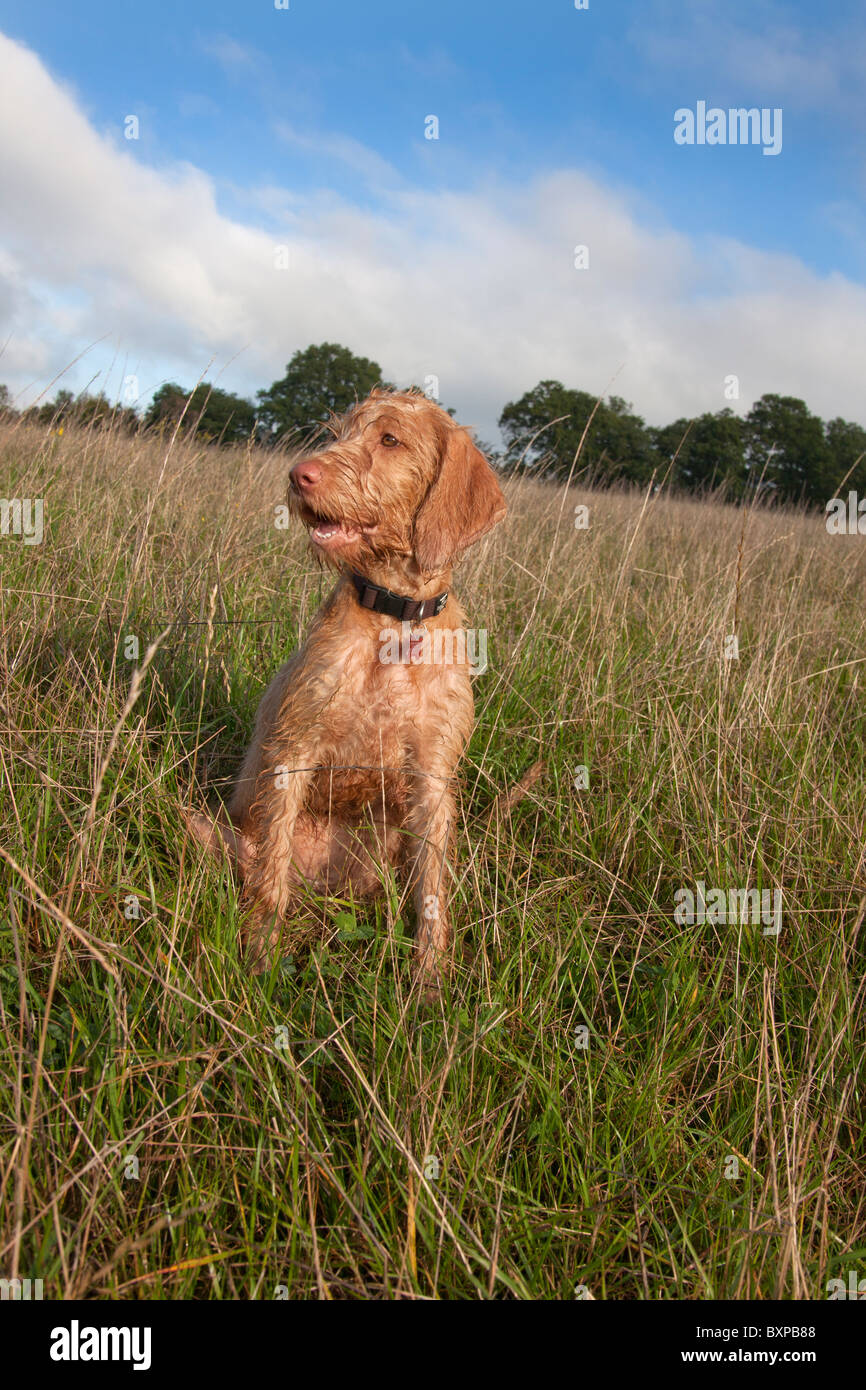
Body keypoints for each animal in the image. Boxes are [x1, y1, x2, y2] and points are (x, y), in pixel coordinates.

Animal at [186, 386, 505, 984]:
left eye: (390, 439)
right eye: (337, 433)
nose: (299, 475)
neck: (395, 619)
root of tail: (320, 884)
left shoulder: (433, 778)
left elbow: (432, 894)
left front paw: (429, 984)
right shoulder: (294, 746)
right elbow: (269, 879)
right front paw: (260, 959)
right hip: (205, 826)